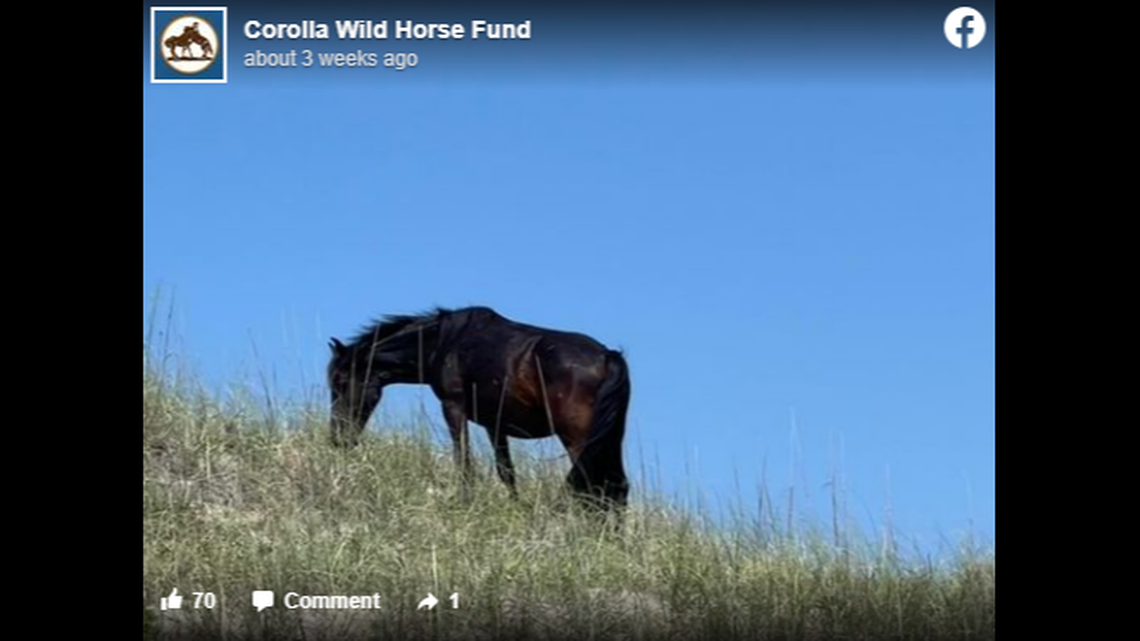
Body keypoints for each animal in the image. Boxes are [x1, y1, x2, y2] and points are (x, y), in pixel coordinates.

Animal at [326, 306, 632, 515]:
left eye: (340, 381)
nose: (338, 439)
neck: (443, 342)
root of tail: (608, 357)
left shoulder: (453, 407)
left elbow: (464, 461)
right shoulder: (493, 423)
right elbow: (506, 471)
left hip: (578, 439)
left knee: (598, 487)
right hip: (608, 440)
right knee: (617, 487)